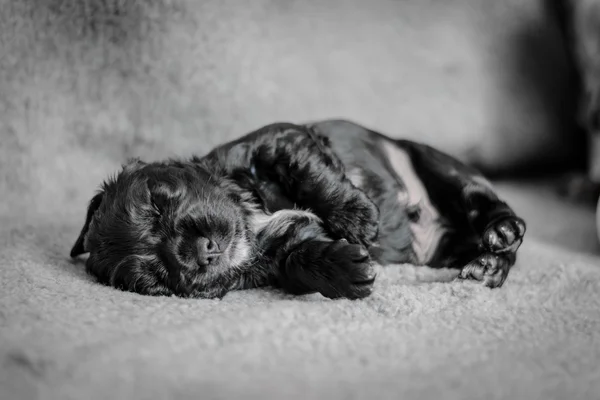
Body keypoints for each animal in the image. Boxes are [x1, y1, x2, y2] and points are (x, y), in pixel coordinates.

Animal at [69, 120, 524, 298]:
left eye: (158, 202)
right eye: (154, 280)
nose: (202, 252)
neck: (251, 219)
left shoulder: (280, 141)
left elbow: (311, 175)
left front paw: (359, 217)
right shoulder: (285, 248)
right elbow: (302, 259)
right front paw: (347, 272)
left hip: (437, 165)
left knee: (484, 201)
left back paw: (501, 233)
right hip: (445, 249)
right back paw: (487, 266)